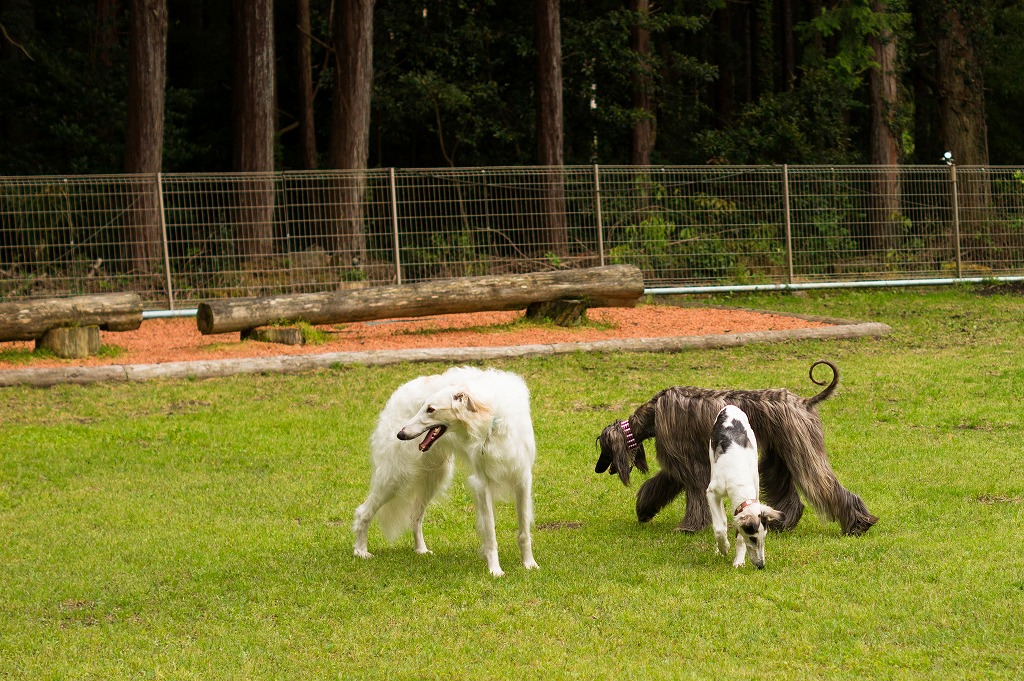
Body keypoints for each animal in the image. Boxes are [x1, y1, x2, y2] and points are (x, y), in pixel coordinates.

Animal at [352, 366, 540, 573]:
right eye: (424, 406)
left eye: (431, 409)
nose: (401, 434)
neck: (493, 420)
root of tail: (398, 393)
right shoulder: (482, 483)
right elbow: (490, 533)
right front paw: (495, 570)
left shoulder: (522, 478)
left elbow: (524, 532)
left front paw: (529, 564)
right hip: (395, 476)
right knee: (363, 511)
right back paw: (360, 551)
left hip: (434, 477)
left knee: (415, 516)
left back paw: (421, 549)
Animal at [598, 360, 876, 536]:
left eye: (602, 448)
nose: (598, 469)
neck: (654, 413)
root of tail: (805, 402)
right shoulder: (680, 460)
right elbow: (661, 483)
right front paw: (645, 509)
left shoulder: (686, 458)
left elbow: (692, 491)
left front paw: (688, 527)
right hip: (779, 454)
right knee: (789, 494)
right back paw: (783, 524)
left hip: (800, 447)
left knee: (823, 484)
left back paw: (858, 524)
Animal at [704, 403, 782, 569]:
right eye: (753, 538)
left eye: (764, 537)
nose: (761, 565)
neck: (738, 475)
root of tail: (730, 407)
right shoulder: (712, 493)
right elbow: (719, 528)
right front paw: (724, 548)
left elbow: (738, 537)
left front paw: (739, 561)